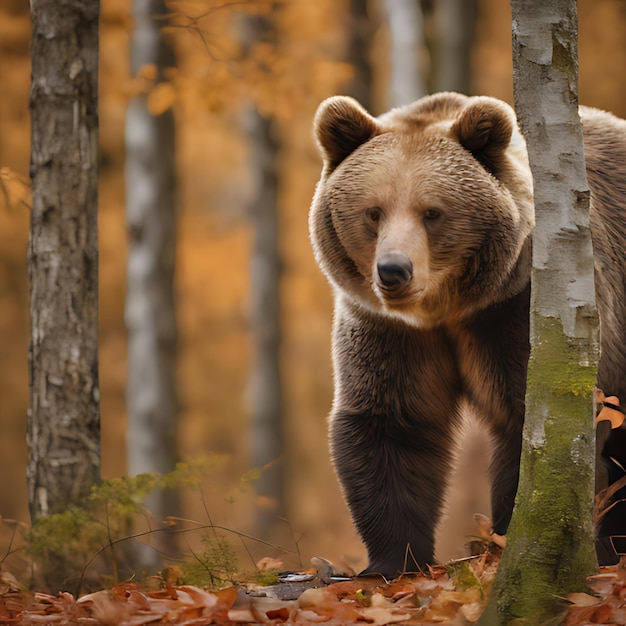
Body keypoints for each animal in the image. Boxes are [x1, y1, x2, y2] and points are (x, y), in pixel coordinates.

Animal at [310, 90, 624, 572]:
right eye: (374, 212)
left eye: (432, 212)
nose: (393, 270)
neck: (446, 311)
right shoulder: (389, 331)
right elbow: (391, 423)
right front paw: (394, 560)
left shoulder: (518, 313)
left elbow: (533, 424)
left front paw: (508, 539)